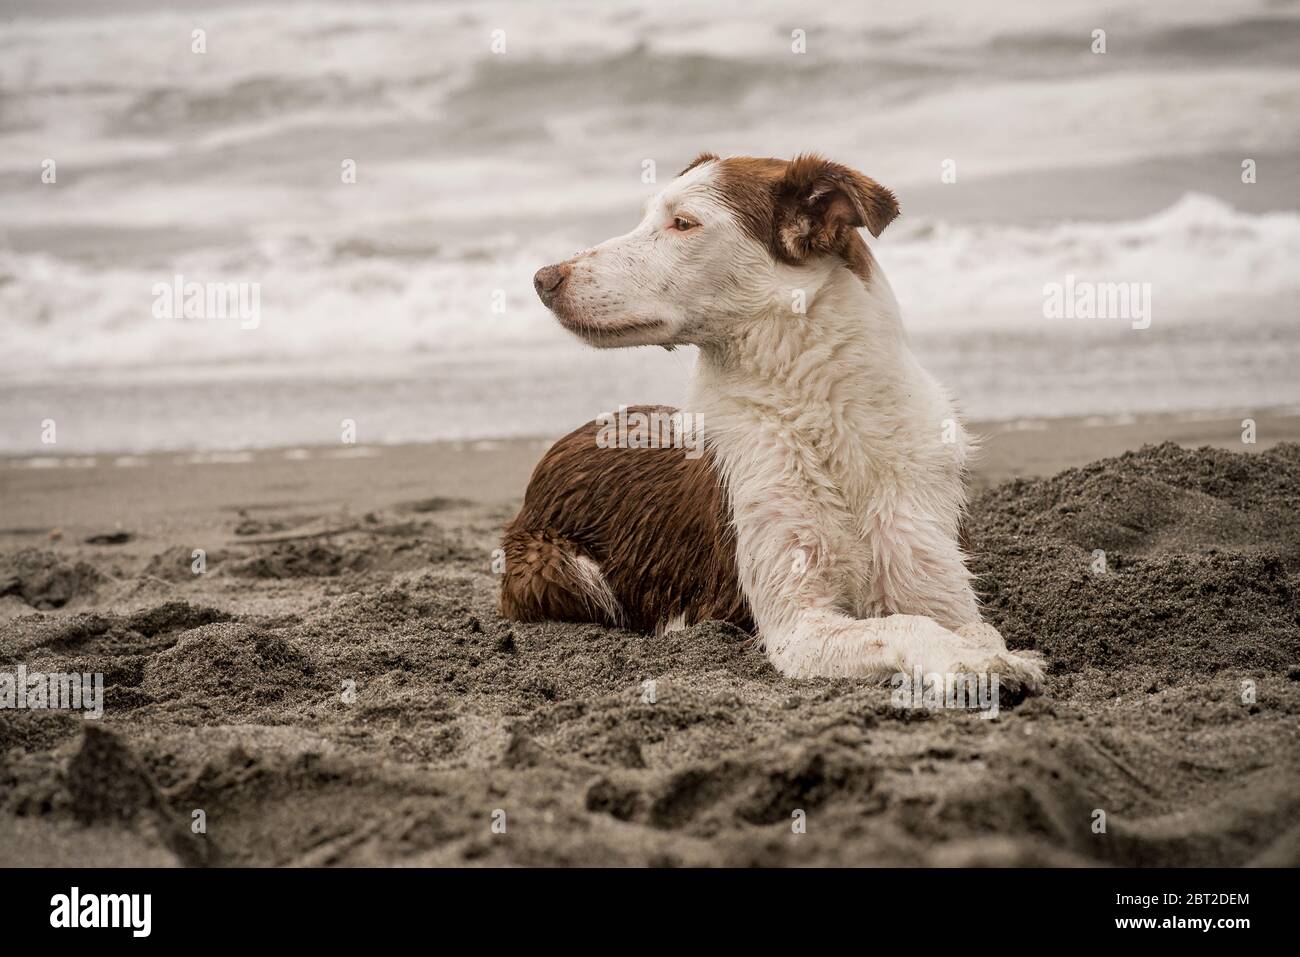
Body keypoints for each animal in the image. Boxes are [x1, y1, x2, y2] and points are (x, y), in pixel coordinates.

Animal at [496, 153, 1045, 691]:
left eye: (682, 223)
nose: (543, 279)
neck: (824, 415)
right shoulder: (796, 624)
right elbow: (903, 625)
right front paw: (967, 662)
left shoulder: (939, 583)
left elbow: (976, 626)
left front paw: (994, 654)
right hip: (558, 567)